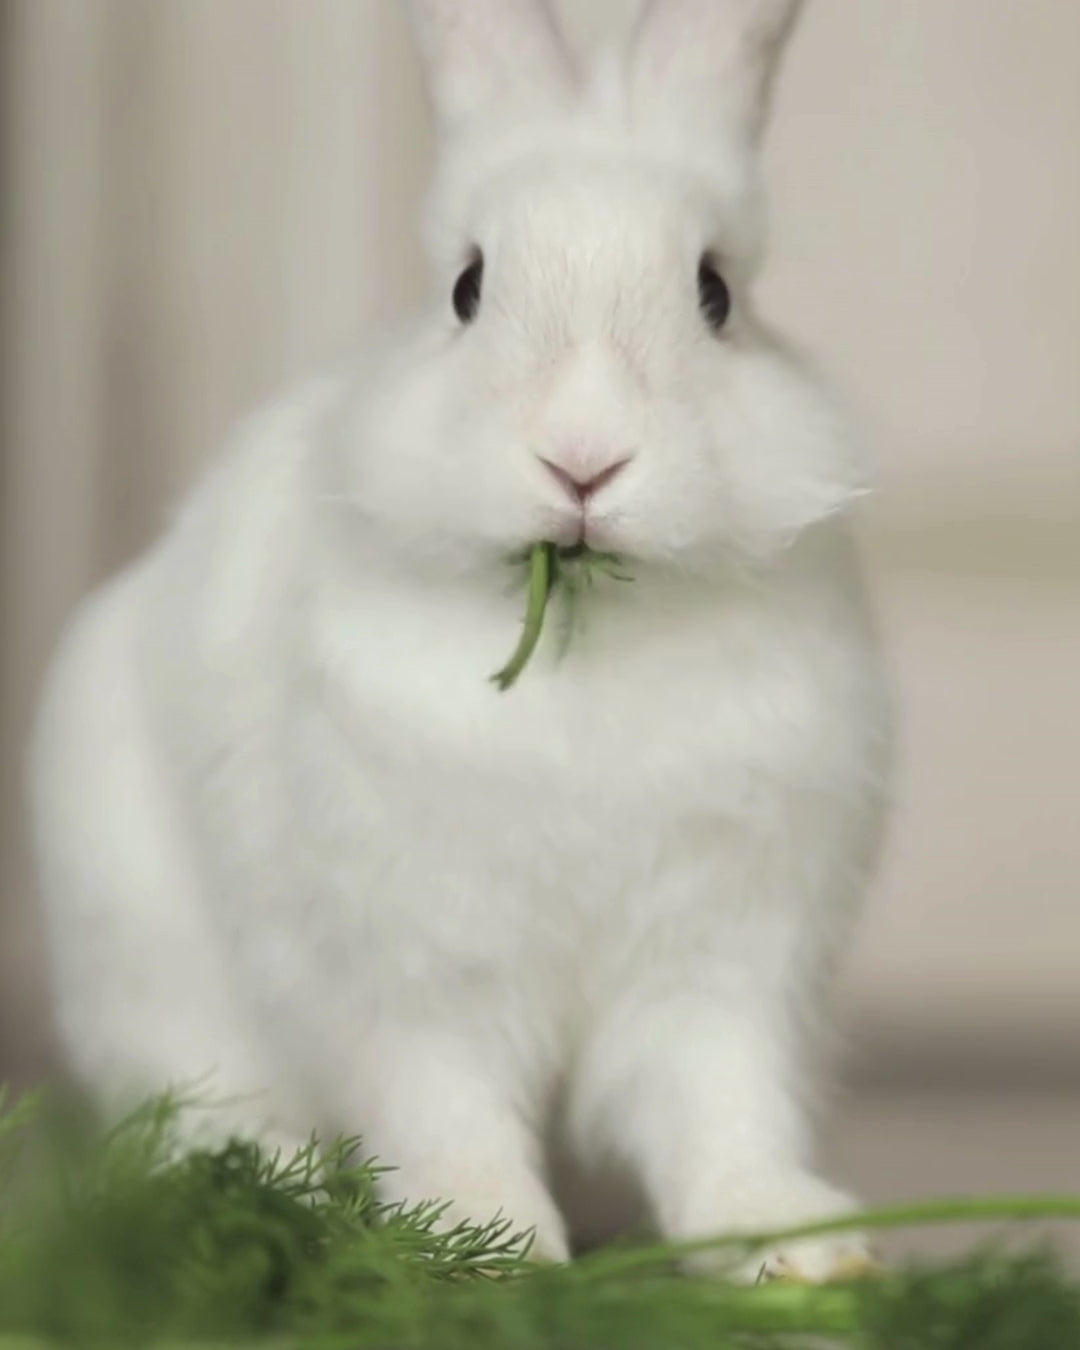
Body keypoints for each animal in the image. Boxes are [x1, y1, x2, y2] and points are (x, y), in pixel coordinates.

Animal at [29, 0, 892, 1283]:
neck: (587, 634)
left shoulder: (719, 969)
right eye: (467, 289)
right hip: (147, 971)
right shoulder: (418, 982)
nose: (583, 458)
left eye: (716, 295)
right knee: (194, 1122)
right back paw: (279, 1186)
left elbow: (719, 1112)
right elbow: (448, 1111)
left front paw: (791, 1245)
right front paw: (487, 1250)